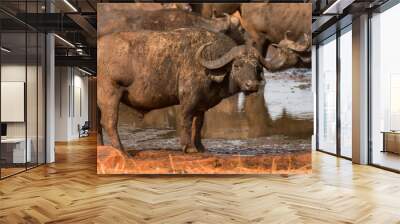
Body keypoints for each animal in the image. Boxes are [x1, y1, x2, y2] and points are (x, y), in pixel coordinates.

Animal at [97, 28, 278, 154]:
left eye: (257, 66)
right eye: (237, 65)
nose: (251, 85)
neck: (208, 65)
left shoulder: (202, 104)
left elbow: (198, 124)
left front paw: (200, 147)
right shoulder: (188, 101)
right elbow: (186, 121)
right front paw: (188, 147)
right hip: (110, 94)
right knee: (109, 122)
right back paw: (122, 151)